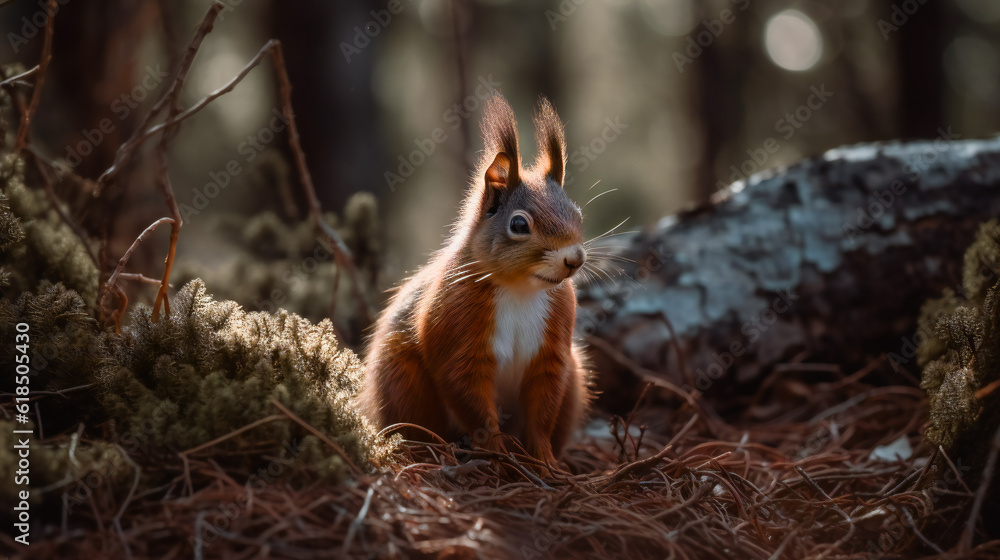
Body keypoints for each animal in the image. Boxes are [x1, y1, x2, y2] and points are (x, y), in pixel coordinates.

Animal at [359, 94, 592, 469]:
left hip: (575, 376)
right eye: (519, 225)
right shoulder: (458, 331)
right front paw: (496, 451)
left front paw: (543, 459)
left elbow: (543, 412)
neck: (520, 289)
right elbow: (470, 397)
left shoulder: (553, 352)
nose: (575, 259)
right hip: (401, 380)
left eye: (577, 213)